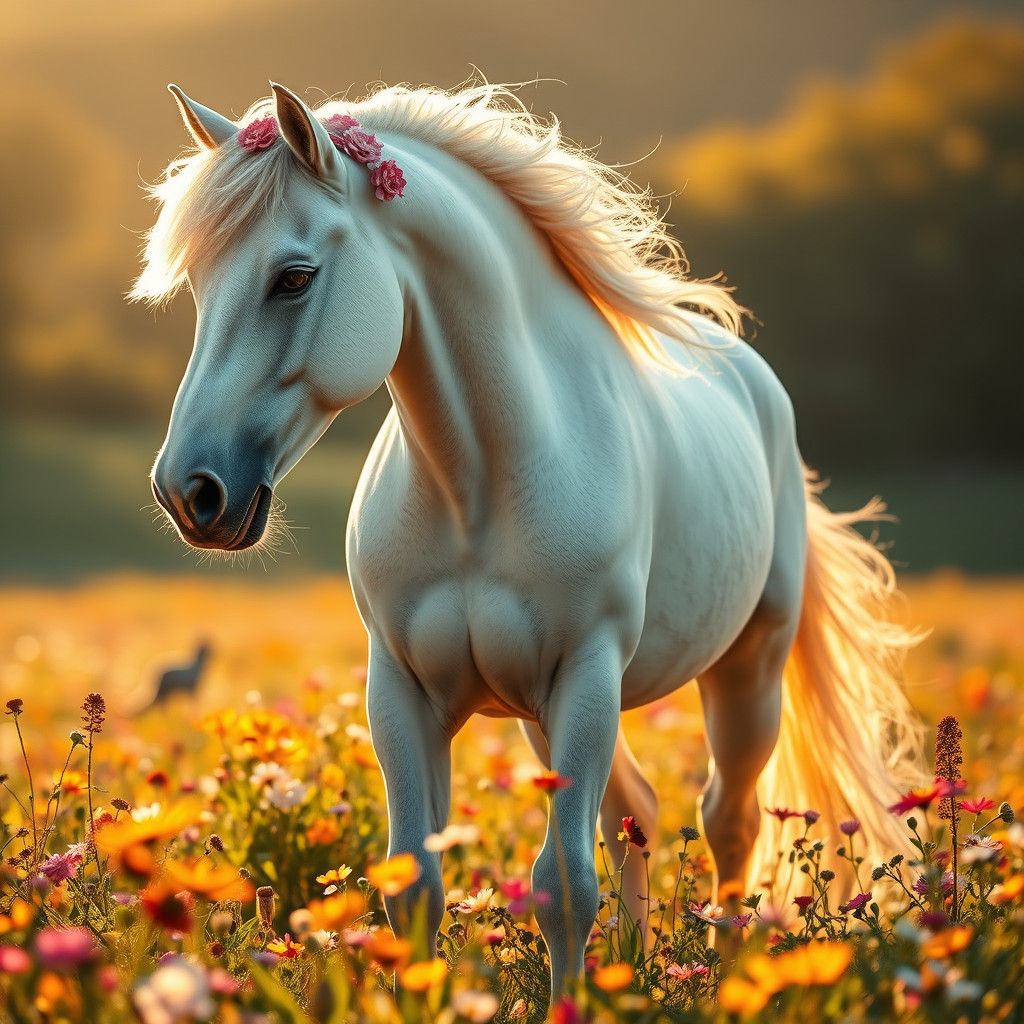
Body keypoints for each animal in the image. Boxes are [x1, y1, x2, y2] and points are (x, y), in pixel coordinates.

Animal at [138, 80, 923, 995]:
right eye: (199, 285)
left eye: (293, 278)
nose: (190, 491)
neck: (479, 485)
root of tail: (755, 383)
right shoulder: (402, 688)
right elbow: (415, 882)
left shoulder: (586, 673)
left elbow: (564, 887)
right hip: (545, 716)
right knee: (637, 814)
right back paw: (631, 971)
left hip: (742, 671)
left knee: (729, 826)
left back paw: (730, 981)